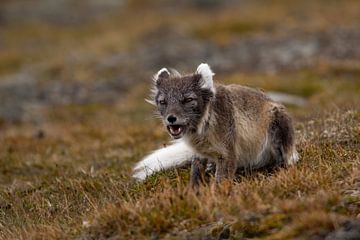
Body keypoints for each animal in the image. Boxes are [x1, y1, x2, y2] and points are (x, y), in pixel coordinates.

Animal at [132, 63, 298, 184]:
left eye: (188, 99)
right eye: (163, 102)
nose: (171, 118)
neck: (205, 124)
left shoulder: (228, 152)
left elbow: (221, 182)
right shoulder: (199, 154)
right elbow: (195, 174)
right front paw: (194, 194)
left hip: (278, 124)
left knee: (286, 159)